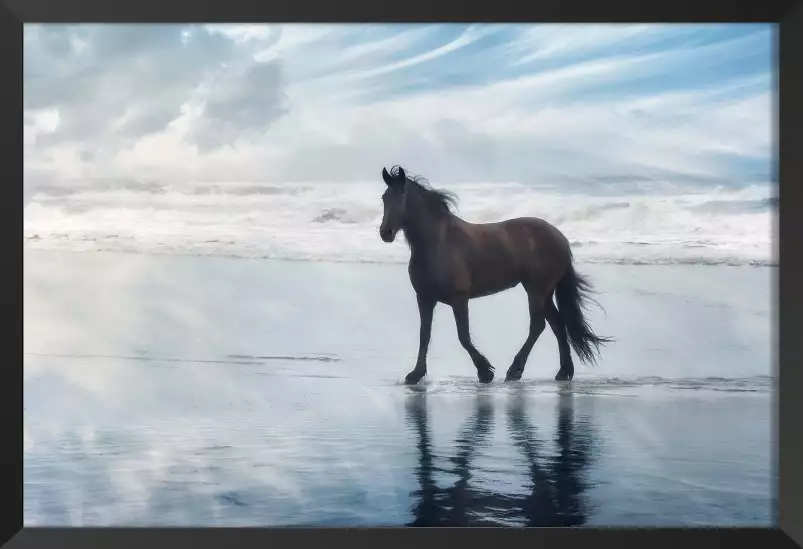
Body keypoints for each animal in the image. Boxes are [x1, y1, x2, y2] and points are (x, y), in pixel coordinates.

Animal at [380, 165, 612, 384]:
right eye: (384, 197)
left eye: (401, 196)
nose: (385, 233)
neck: (437, 243)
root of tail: (561, 238)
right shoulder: (425, 299)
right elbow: (424, 336)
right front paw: (415, 374)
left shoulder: (459, 299)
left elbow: (463, 336)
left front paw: (485, 372)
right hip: (543, 293)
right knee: (558, 324)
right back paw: (563, 372)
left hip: (537, 290)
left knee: (538, 326)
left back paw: (515, 370)